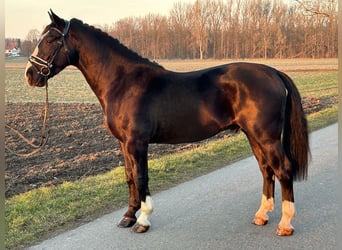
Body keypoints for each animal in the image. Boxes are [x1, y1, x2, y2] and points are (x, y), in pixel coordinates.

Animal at [25, 10, 308, 235]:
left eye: (51, 39)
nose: (30, 75)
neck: (123, 82)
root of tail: (273, 72)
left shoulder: (137, 143)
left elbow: (141, 178)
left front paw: (143, 220)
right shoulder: (123, 144)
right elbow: (129, 177)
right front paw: (128, 217)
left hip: (266, 137)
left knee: (283, 169)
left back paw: (285, 223)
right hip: (253, 135)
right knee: (266, 169)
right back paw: (262, 215)